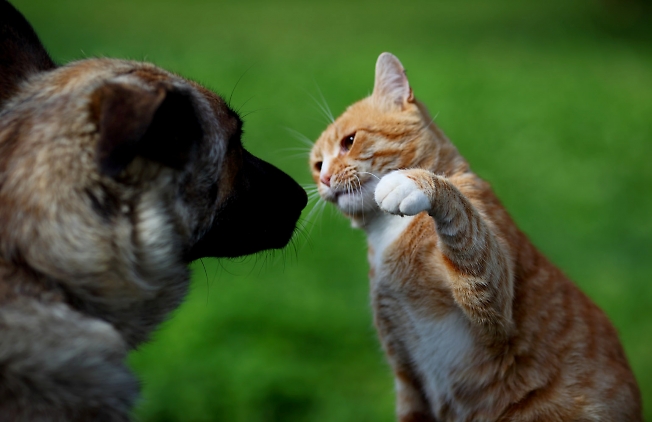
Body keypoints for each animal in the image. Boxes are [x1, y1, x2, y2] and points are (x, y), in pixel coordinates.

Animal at [310, 52, 640, 422]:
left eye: (349, 142)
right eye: (317, 164)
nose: (323, 180)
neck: (387, 232)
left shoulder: (493, 299)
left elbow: (459, 210)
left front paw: (415, 182)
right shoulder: (408, 378)